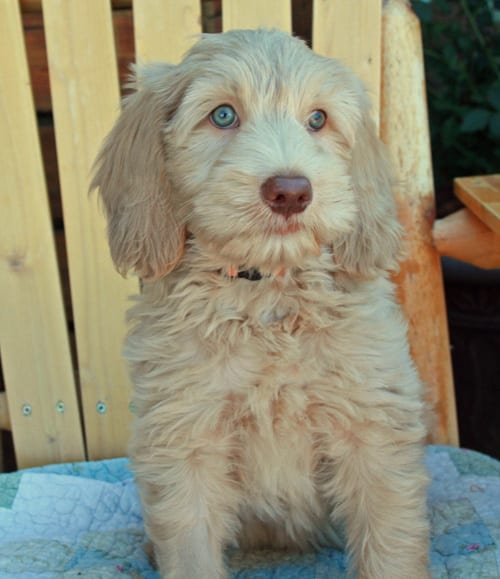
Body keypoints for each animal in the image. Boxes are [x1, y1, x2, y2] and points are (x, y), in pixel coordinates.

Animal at [93, 28, 430, 579]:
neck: (266, 294)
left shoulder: (372, 428)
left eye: (317, 119)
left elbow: (389, 541)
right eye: (223, 115)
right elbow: (190, 548)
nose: (290, 191)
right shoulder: (186, 439)